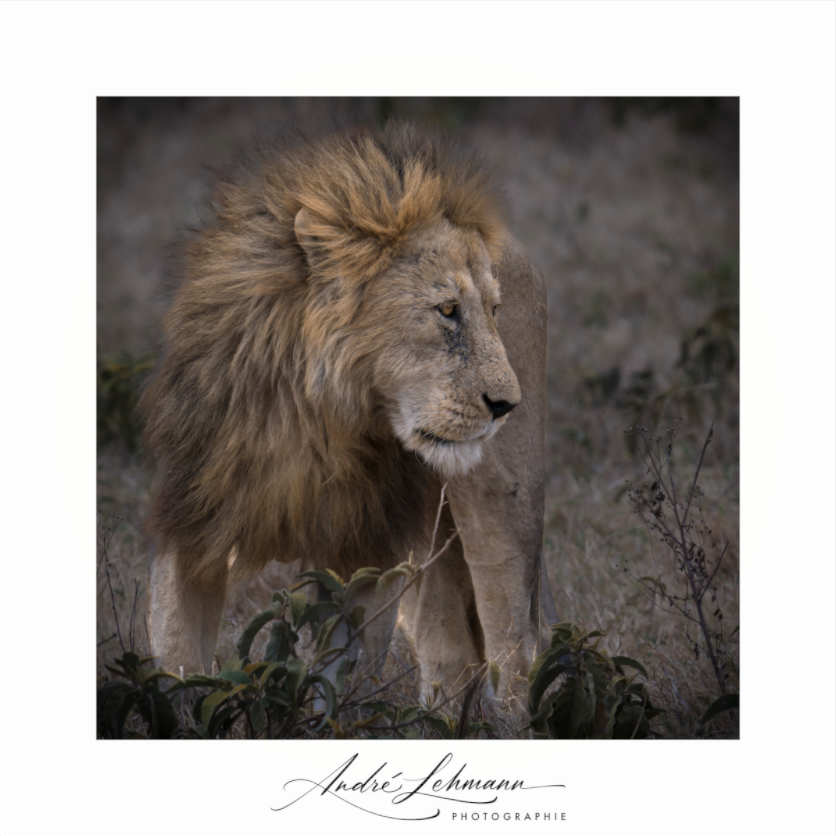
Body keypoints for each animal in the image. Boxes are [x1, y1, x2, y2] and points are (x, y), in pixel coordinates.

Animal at [141, 121, 559, 700]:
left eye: (494, 312)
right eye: (448, 310)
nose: (506, 405)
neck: (311, 421)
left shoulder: (365, 546)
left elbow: (339, 679)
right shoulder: (193, 519)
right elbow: (178, 663)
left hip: (503, 499)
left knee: (513, 645)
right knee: (449, 650)